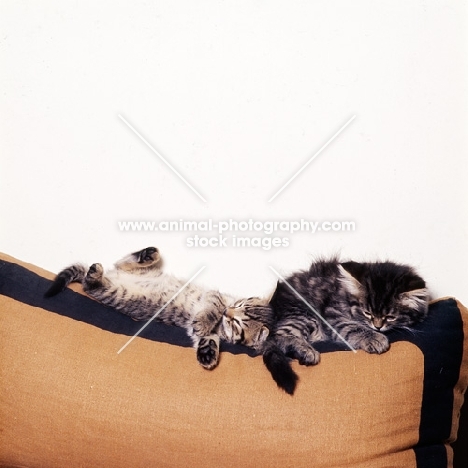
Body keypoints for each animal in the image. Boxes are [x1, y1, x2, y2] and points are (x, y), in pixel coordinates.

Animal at [45, 247, 272, 372]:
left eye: (237, 324)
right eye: (238, 306)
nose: (228, 313)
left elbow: (206, 337)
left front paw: (208, 351)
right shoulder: (215, 296)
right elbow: (213, 307)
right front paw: (206, 320)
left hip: (114, 291)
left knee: (96, 280)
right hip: (118, 286)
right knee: (111, 269)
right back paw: (146, 255)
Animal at [264, 260, 428, 394]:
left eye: (390, 317)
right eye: (367, 313)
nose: (377, 327)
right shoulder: (332, 314)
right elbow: (353, 327)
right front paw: (375, 338)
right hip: (304, 315)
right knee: (279, 336)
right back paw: (306, 352)